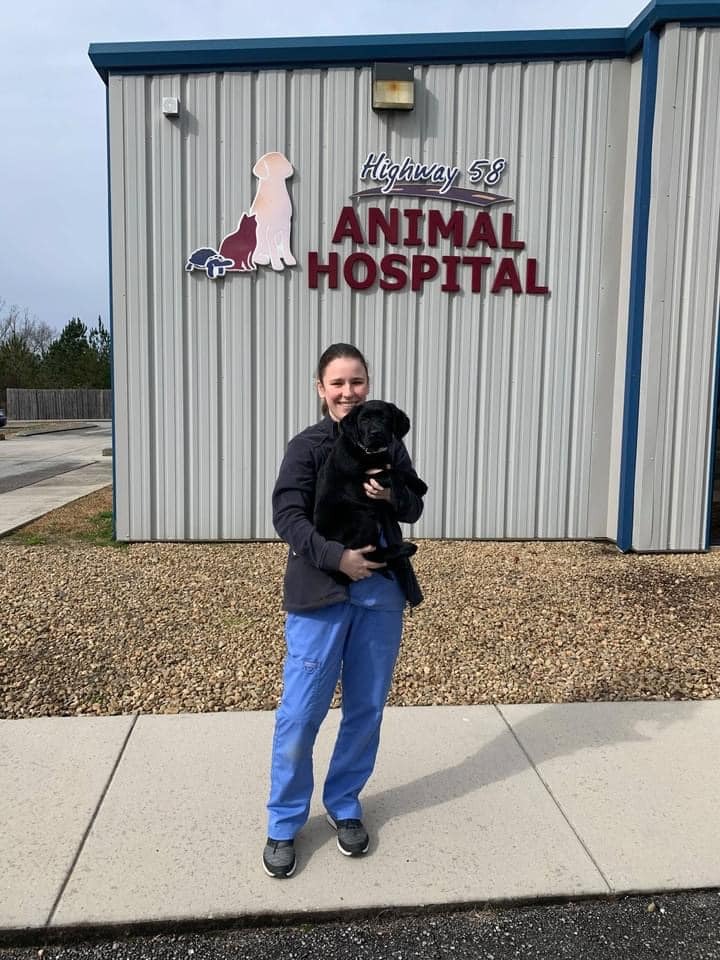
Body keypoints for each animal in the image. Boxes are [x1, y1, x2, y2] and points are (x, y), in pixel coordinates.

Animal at [316, 400, 428, 576]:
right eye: (363, 420)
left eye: (385, 418)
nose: (376, 433)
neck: (370, 453)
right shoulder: (357, 483)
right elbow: (393, 472)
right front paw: (399, 496)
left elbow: (398, 469)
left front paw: (419, 485)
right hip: (362, 519)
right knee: (369, 554)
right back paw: (406, 548)